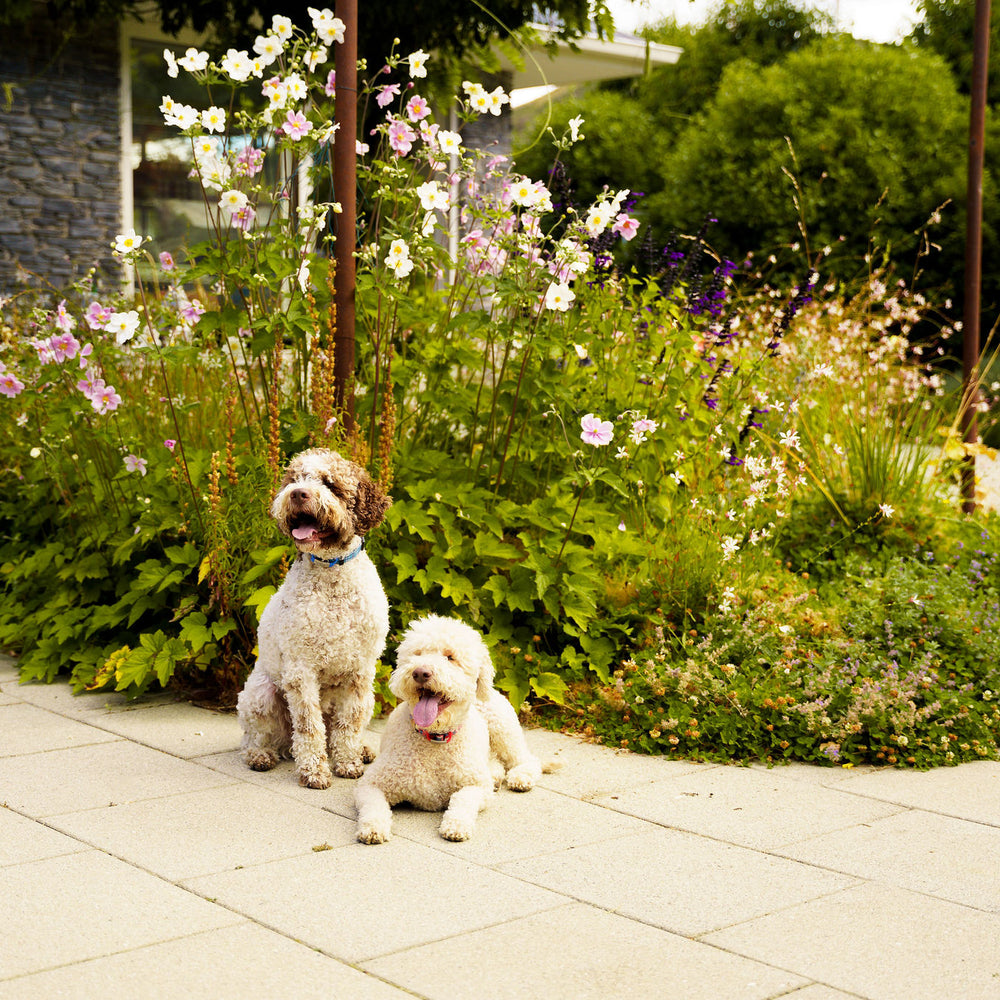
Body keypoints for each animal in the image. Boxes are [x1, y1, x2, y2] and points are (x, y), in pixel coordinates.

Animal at [235, 448, 390, 788]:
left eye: (330, 484)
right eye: (295, 479)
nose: (298, 494)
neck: (332, 575)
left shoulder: (360, 672)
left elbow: (349, 723)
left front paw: (348, 762)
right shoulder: (300, 670)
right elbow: (308, 726)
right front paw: (314, 771)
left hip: (371, 698)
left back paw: (363, 750)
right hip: (260, 695)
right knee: (258, 737)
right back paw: (261, 756)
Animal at [352, 612, 540, 840]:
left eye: (450, 657)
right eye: (417, 654)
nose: (420, 672)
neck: (435, 738)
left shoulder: (476, 786)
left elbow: (463, 800)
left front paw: (456, 825)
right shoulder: (370, 784)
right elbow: (373, 806)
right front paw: (374, 827)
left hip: (503, 728)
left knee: (526, 760)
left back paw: (521, 777)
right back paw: (496, 775)